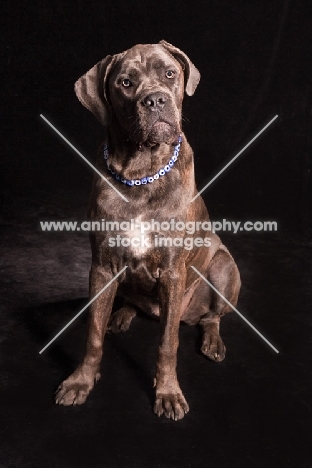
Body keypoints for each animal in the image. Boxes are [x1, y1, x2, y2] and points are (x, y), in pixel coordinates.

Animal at [54, 41, 241, 420]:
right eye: (125, 82)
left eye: (169, 73)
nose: (154, 100)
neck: (141, 173)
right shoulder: (102, 266)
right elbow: (93, 334)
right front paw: (81, 381)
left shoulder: (172, 271)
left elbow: (167, 343)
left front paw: (167, 393)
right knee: (131, 302)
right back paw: (122, 315)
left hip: (223, 267)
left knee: (211, 316)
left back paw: (212, 340)